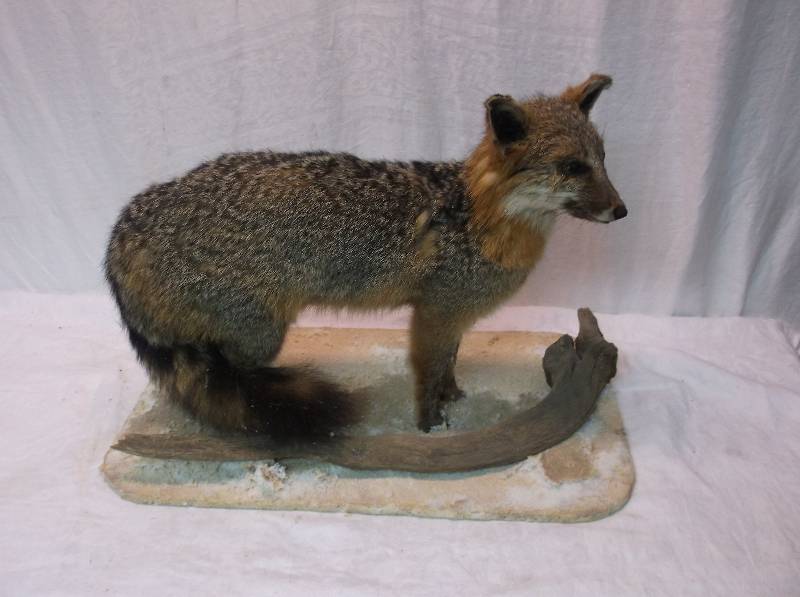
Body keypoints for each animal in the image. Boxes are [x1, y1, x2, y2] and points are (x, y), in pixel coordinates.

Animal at [105, 73, 626, 437]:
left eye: (602, 160)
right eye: (572, 168)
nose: (622, 211)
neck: (475, 218)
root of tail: (122, 230)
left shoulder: (451, 315)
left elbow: (451, 362)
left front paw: (455, 397)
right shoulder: (435, 313)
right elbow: (428, 373)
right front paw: (430, 426)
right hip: (261, 337)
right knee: (239, 378)